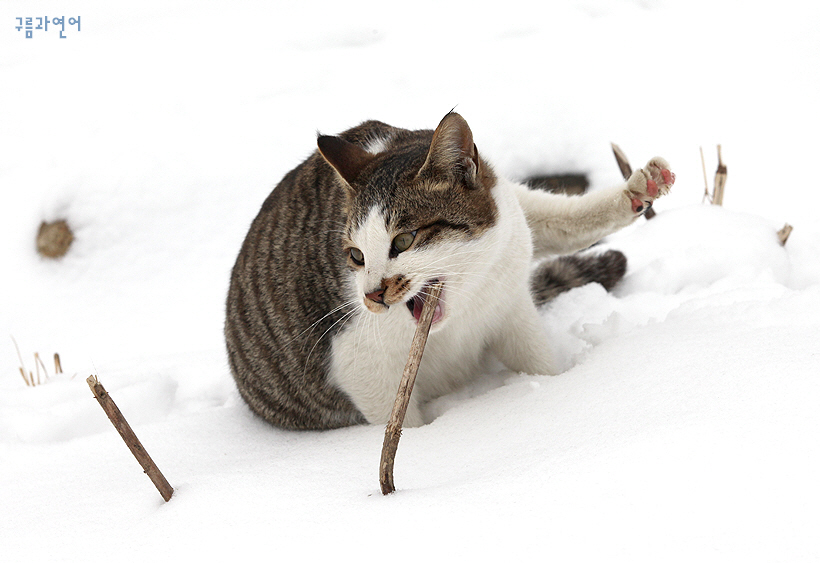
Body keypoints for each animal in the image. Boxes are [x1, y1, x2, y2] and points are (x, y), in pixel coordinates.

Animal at [224, 113, 672, 432]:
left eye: (404, 240)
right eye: (355, 255)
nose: (372, 295)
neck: (466, 298)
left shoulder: (509, 290)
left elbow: (559, 222)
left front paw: (636, 191)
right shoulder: (355, 358)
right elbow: (399, 422)